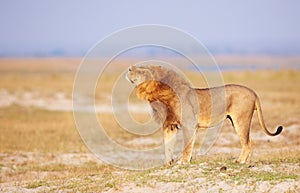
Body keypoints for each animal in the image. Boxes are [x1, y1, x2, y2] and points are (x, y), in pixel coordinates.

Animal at [125, 64, 282, 165]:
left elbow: (187, 145)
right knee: (250, 141)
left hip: (240, 119)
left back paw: (240, 161)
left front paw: (183, 161)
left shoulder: (189, 124)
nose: (129, 68)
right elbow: (168, 145)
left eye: (142, 70)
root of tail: (253, 92)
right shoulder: (169, 125)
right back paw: (247, 162)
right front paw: (167, 164)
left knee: (247, 143)